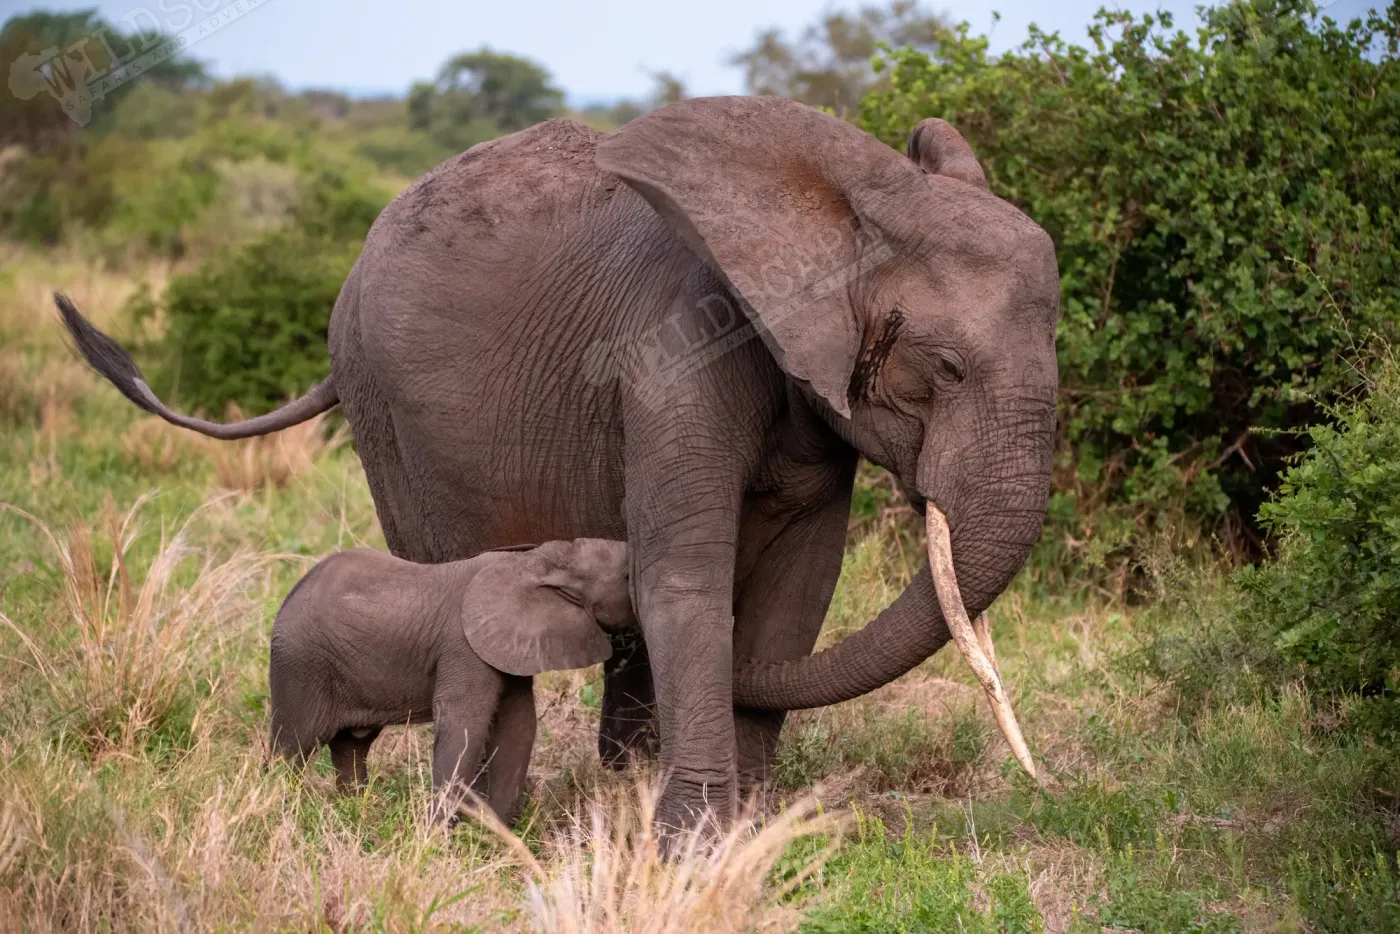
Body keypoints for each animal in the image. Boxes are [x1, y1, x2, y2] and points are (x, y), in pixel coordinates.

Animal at [269, 538, 635, 823]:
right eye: (627, 575)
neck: (536, 560)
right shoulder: (464, 648)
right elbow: (464, 723)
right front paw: (436, 835)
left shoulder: (504, 647)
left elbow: (518, 725)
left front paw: (496, 835)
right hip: (300, 667)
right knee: (292, 746)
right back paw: (278, 810)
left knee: (351, 746)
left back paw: (355, 811)